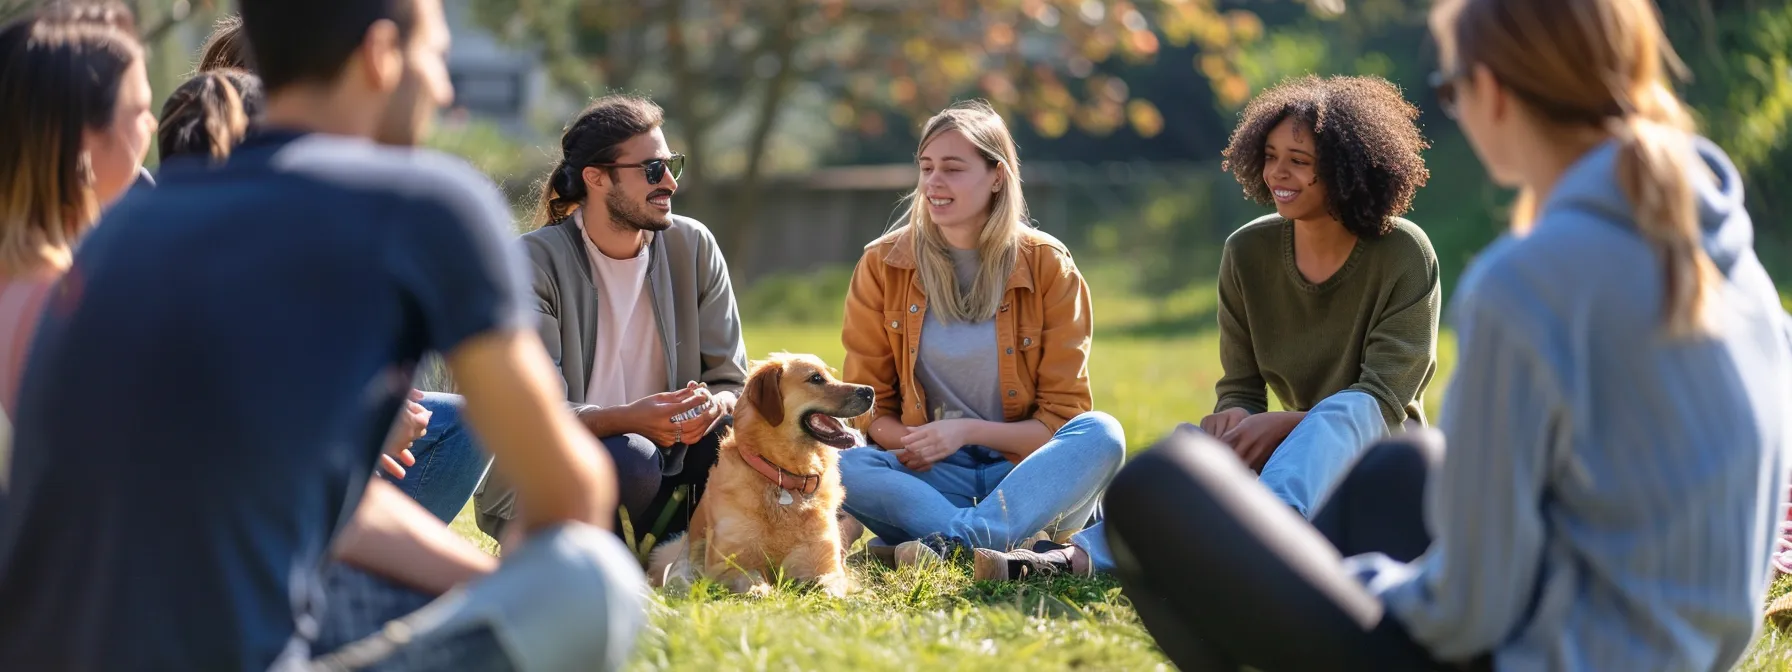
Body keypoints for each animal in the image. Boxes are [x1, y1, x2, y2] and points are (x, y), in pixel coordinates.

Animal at [648, 354, 870, 598]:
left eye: (829, 374)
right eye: (816, 378)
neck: (783, 478)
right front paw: (760, 592)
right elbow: (752, 582)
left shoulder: (823, 564)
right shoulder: (728, 564)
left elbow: (829, 588)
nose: (870, 391)